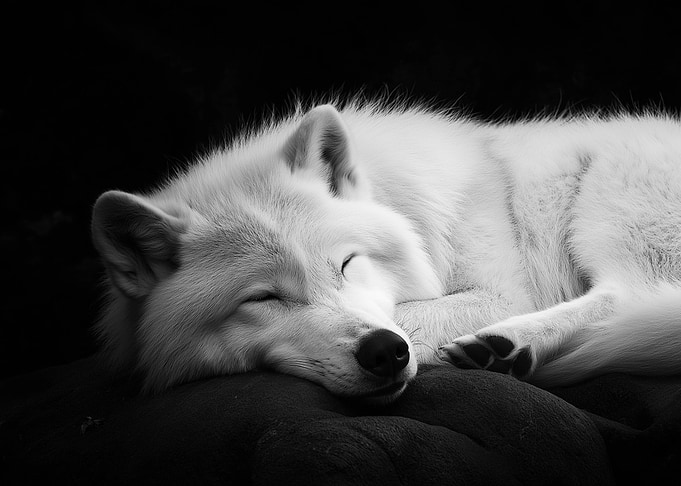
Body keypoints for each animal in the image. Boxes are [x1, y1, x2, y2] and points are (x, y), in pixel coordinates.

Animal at [91, 99, 681, 404]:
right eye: (262, 299)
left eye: (348, 264)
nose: (382, 352)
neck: (401, 204)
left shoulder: (504, 292)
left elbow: (416, 316)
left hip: (608, 204)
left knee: (627, 295)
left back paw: (506, 345)